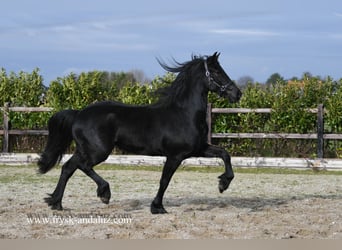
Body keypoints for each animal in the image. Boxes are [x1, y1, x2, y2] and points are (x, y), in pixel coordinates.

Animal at [38, 51, 240, 214]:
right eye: (216, 71)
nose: (237, 93)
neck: (183, 114)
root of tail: (79, 113)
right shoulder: (175, 156)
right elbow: (164, 180)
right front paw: (157, 207)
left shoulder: (197, 149)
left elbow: (225, 154)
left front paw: (223, 183)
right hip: (98, 151)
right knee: (82, 166)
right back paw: (104, 193)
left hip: (87, 149)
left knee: (68, 167)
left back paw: (56, 203)